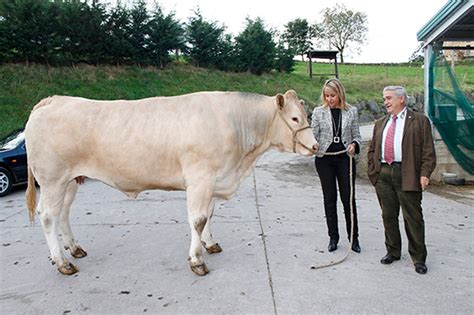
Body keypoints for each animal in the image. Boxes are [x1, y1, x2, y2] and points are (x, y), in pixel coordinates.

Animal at [24, 89, 316, 276]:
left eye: (307, 117)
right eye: (294, 119)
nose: (315, 146)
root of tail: (53, 100)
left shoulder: (213, 181)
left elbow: (209, 216)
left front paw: (210, 244)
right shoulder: (200, 179)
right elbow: (198, 219)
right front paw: (197, 260)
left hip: (70, 180)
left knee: (63, 213)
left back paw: (74, 249)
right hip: (52, 180)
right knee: (48, 216)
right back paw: (62, 263)